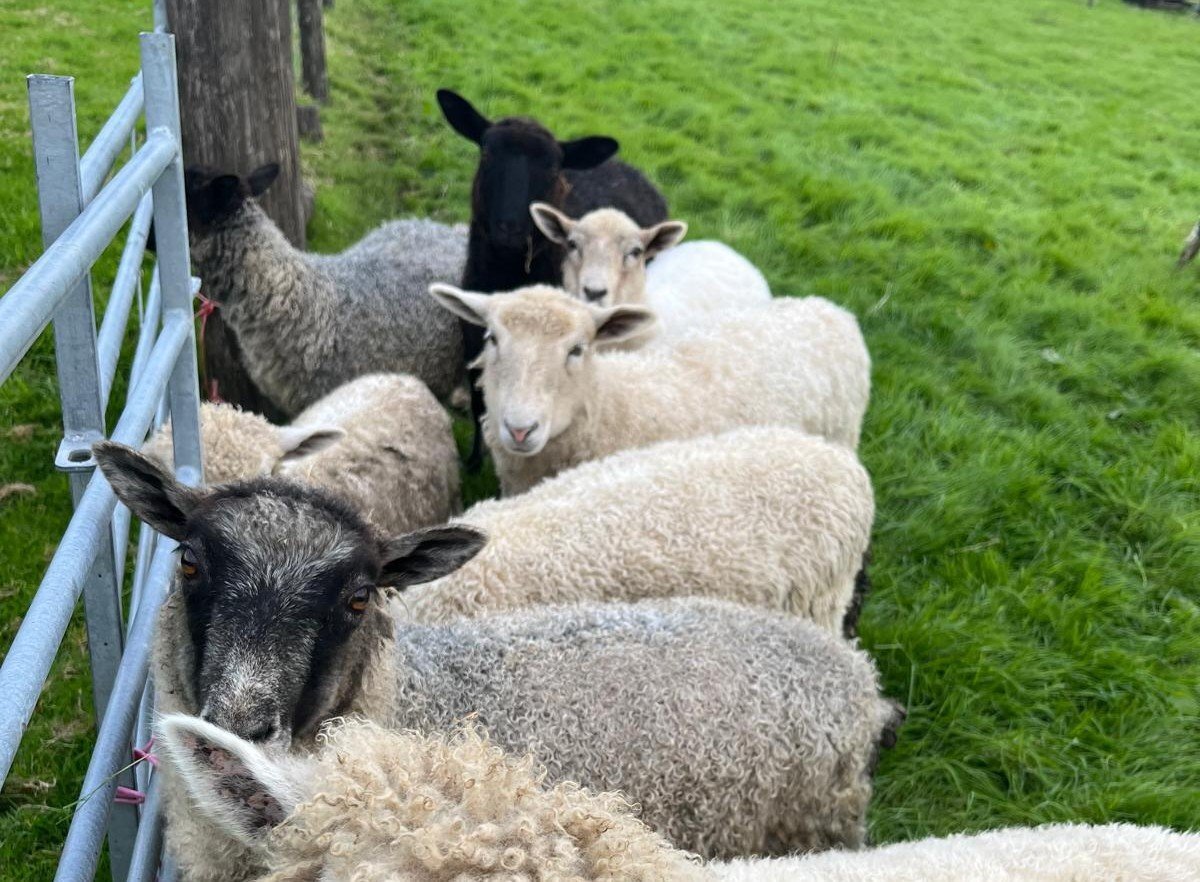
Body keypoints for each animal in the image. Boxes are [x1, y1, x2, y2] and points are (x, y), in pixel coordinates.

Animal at [436, 89, 669, 466]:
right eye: (486, 151)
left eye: (553, 166)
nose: (510, 227)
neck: (509, 273)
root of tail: (627, 166)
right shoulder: (474, 340)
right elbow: (479, 402)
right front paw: (473, 463)